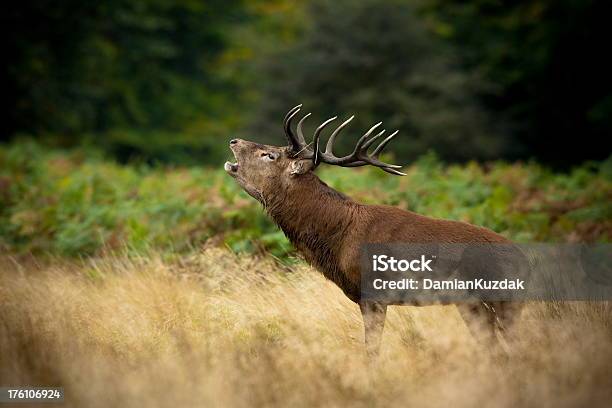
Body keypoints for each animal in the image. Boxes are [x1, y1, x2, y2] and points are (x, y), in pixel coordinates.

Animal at [224, 104, 520, 356]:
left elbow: (372, 350)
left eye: (270, 154)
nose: (234, 141)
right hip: (473, 304)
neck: (338, 239)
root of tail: (525, 260)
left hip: (503, 299)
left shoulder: (374, 295)